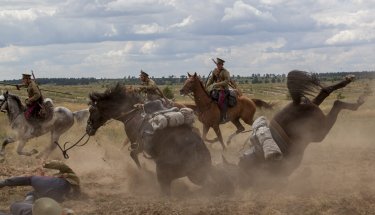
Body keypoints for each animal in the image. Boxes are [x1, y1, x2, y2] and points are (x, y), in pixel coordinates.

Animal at [86, 84, 234, 195]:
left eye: (92, 110)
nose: (88, 129)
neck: (131, 113)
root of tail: (198, 152)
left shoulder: (137, 143)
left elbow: (133, 155)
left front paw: (144, 173)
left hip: (172, 175)